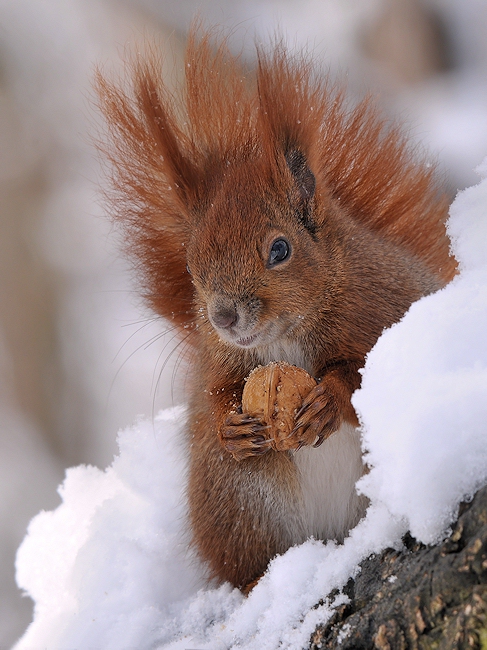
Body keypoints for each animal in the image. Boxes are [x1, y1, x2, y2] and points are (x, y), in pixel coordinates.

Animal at [96, 29, 458, 588]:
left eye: (280, 249)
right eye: (192, 265)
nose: (222, 317)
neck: (285, 336)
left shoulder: (387, 304)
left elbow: (363, 373)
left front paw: (329, 399)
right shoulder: (218, 361)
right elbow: (214, 395)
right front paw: (230, 425)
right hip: (238, 502)